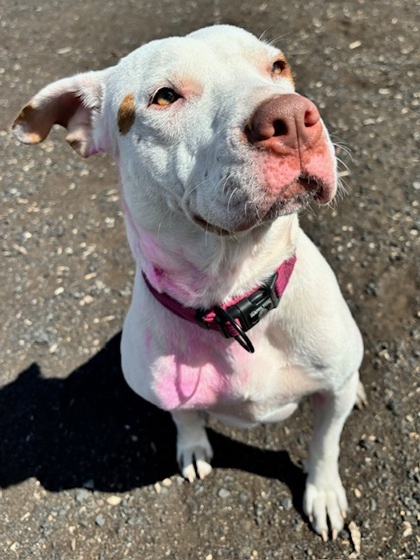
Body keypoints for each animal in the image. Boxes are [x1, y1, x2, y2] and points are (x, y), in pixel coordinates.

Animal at [13, 25, 364, 540]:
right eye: (164, 96)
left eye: (278, 66)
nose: (293, 117)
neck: (232, 297)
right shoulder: (164, 389)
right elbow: (184, 416)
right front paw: (193, 445)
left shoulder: (328, 397)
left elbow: (325, 443)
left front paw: (323, 494)